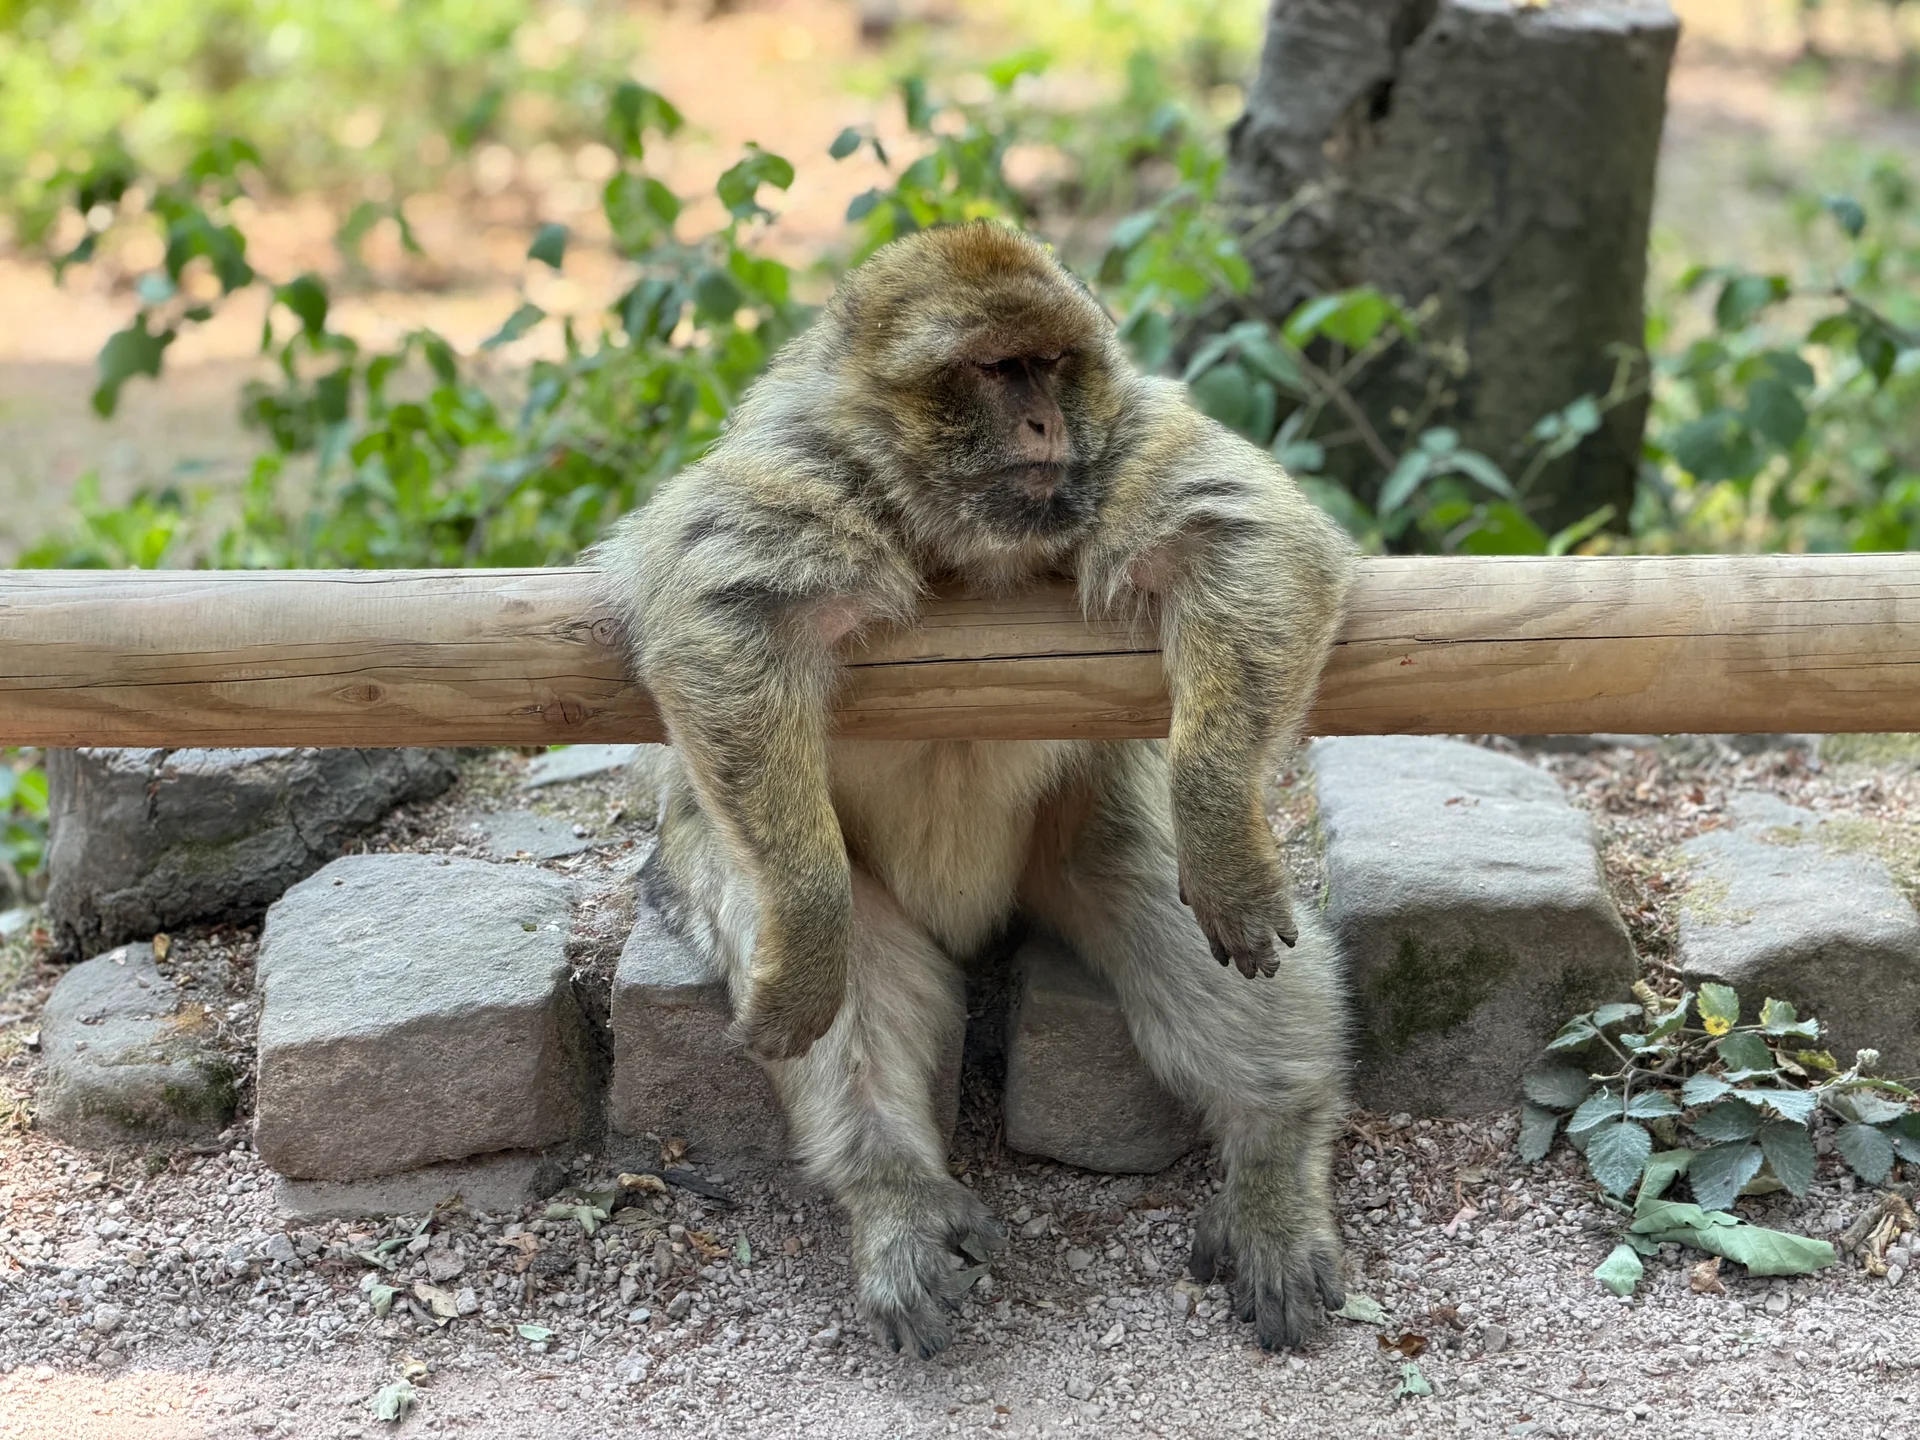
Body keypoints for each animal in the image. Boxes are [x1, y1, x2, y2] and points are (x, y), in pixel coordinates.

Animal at [595, 221, 1355, 1358]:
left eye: (1055, 365)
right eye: (997, 372)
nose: (1045, 419)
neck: (966, 546)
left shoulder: (1122, 432)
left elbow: (1244, 529)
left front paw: (1221, 822)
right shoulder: (803, 464)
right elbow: (717, 607)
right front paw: (809, 928)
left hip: (1070, 833)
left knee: (1142, 875)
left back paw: (1273, 1154)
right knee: (856, 959)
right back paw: (896, 1191)